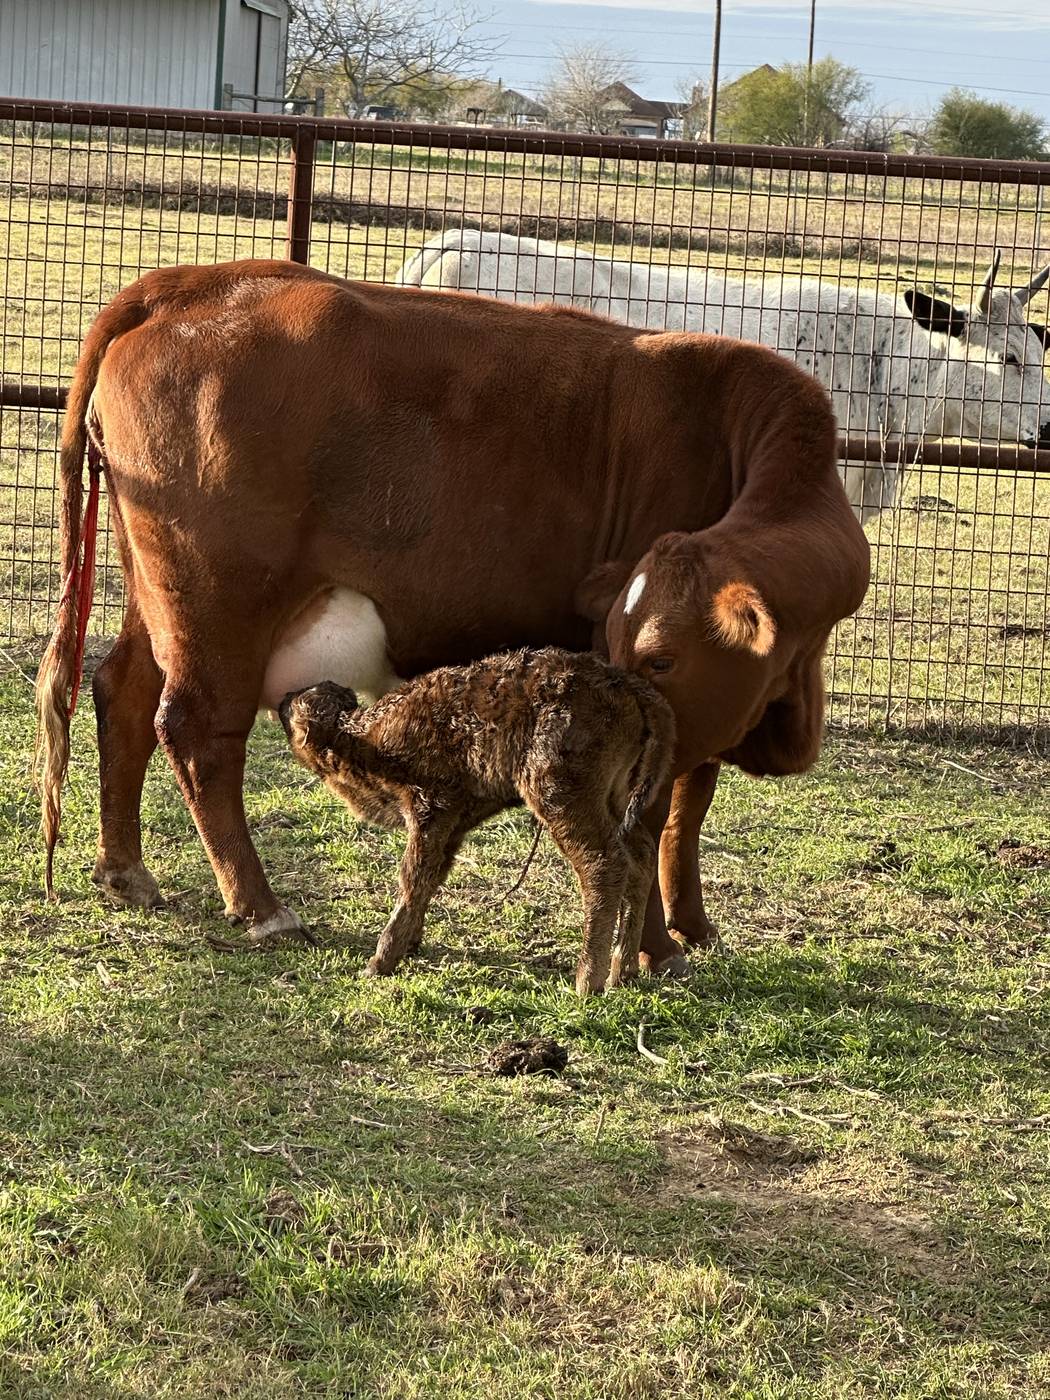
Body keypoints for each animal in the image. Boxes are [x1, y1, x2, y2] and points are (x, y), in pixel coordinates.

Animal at [278, 648, 675, 994]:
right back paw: (623, 971)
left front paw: (380, 961)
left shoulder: (429, 808)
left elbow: (413, 877)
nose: (284, 696)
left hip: (562, 798)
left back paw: (587, 981)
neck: (358, 738)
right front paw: (410, 943)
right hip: (615, 799)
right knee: (640, 855)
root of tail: (627, 684)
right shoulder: (452, 824)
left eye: (298, 703)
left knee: (603, 866)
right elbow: (431, 877)